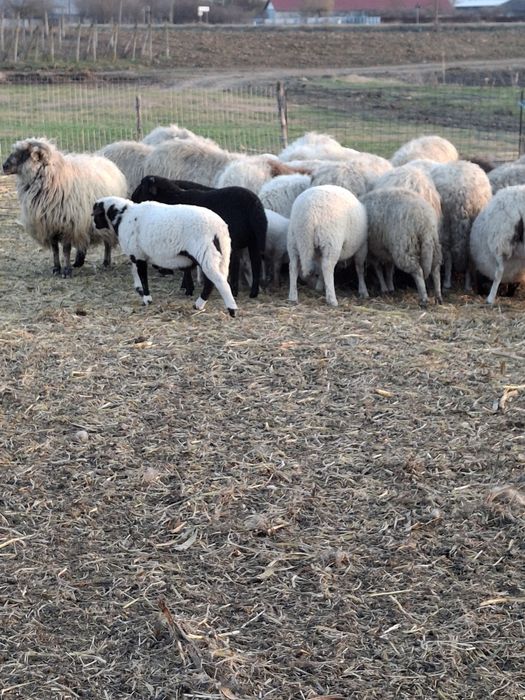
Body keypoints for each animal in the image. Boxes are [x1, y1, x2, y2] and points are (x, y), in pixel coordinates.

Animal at [2, 137, 128, 277]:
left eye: (24, 154)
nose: (4, 166)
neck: (53, 177)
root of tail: (108, 162)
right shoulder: (50, 225)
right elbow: (55, 250)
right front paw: (56, 268)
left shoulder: (68, 224)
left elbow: (66, 250)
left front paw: (67, 270)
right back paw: (79, 261)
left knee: (107, 242)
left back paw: (106, 262)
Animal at [92, 196, 238, 316]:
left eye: (95, 214)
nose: (94, 225)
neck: (124, 216)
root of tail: (220, 228)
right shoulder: (137, 254)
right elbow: (135, 272)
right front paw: (139, 290)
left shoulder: (138, 255)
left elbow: (142, 276)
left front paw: (147, 299)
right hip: (221, 255)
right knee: (213, 281)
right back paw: (200, 305)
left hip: (206, 253)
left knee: (218, 282)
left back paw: (228, 309)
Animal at [131, 175, 267, 299]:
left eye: (142, 187)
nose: (132, 199)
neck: (174, 199)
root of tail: (255, 205)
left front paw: (188, 289)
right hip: (254, 240)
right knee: (256, 263)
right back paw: (253, 293)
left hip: (233, 238)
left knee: (235, 263)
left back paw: (233, 291)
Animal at [428, 160, 492, 290]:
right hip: (473, 225)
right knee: (470, 255)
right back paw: (467, 285)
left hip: (446, 224)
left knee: (448, 254)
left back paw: (447, 282)